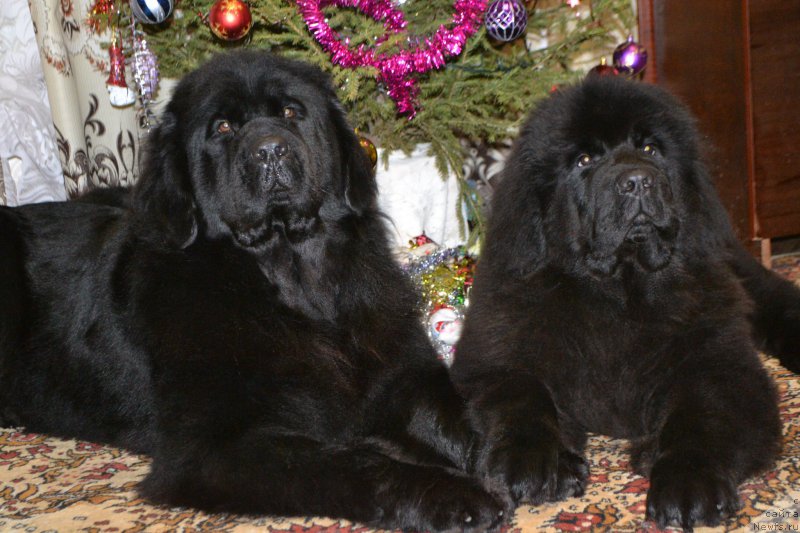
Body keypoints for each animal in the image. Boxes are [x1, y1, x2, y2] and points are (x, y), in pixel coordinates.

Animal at [0, 51, 500, 532]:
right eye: (223, 127)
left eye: (291, 113)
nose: (270, 150)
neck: (294, 280)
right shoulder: (217, 448)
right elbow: (355, 461)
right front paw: (452, 494)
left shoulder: (397, 373)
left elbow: (458, 415)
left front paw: (506, 460)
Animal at [450, 77, 800, 528]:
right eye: (584, 160)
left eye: (650, 149)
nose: (637, 180)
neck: (620, 289)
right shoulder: (496, 351)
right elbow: (519, 394)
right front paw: (533, 462)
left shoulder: (719, 361)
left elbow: (702, 418)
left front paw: (689, 484)